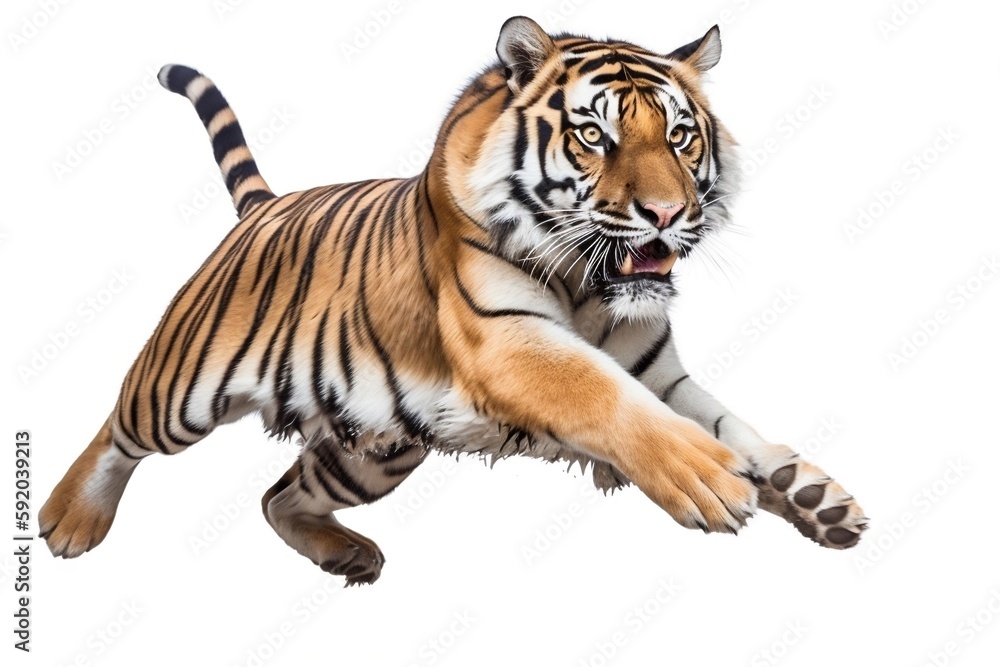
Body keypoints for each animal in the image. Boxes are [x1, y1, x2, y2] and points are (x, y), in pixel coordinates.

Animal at [40, 16, 867, 585]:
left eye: (681, 136)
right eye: (595, 136)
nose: (666, 213)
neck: (593, 289)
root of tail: (265, 208)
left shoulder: (659, 370)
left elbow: (730, 422)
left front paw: (812, 495)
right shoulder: (510, 339)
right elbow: (606, 396)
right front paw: (707, 478)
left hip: (372, 452)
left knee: (277, 497)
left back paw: (347, 554)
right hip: (182, 388)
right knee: (116, 429)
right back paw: (66, 522)